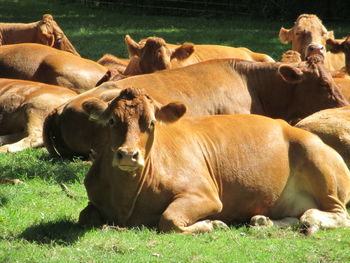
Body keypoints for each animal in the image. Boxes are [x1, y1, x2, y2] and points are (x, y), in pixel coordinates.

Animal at [78, 87, 350, 235]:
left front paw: (213, 224)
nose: (128, 154)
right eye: (112, 120)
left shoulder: (204, 195)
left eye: (152, 122)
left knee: (337, 215)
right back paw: (263, 220)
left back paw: (311, 217)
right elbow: (85, 216)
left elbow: (169, 220)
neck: (126, 200)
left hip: (319, 164)